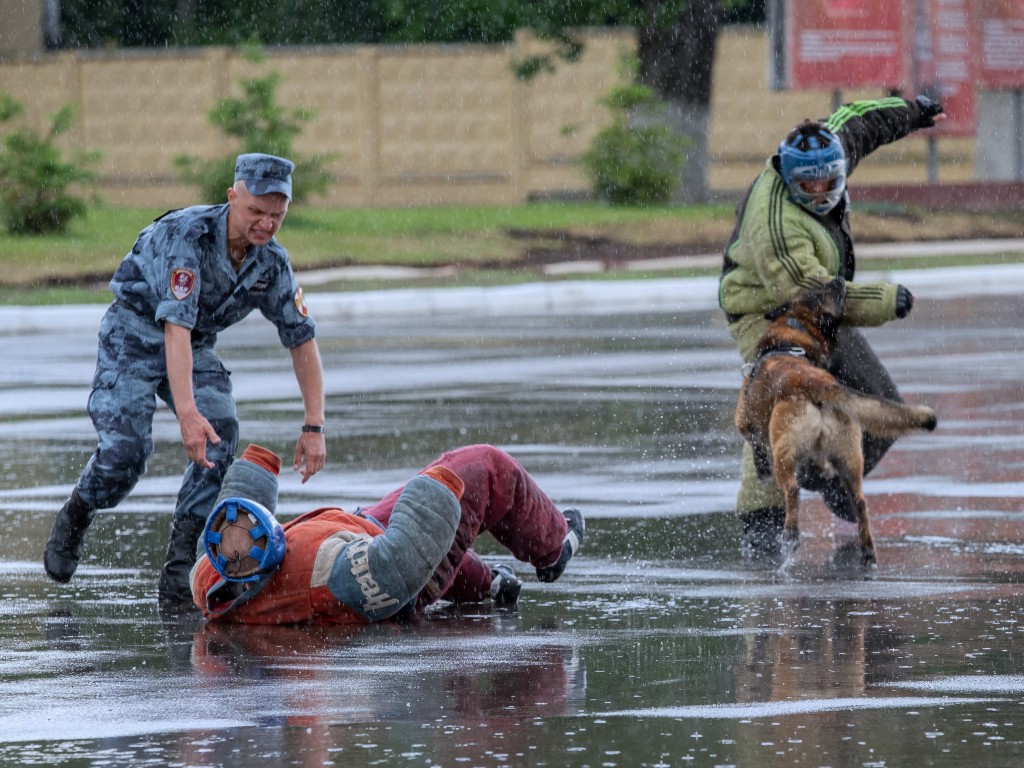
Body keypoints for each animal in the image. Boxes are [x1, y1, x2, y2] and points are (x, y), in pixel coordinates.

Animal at [733, 276, 937, 565]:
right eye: (820, 289)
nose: (839, 278)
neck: (791, 339)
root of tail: (820, 383)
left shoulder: (746, 424)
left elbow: (756, 448)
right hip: (849, 458)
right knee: (860, 502)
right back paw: (867, 552)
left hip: (784, 453)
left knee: (792, 490)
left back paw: (791, 536)